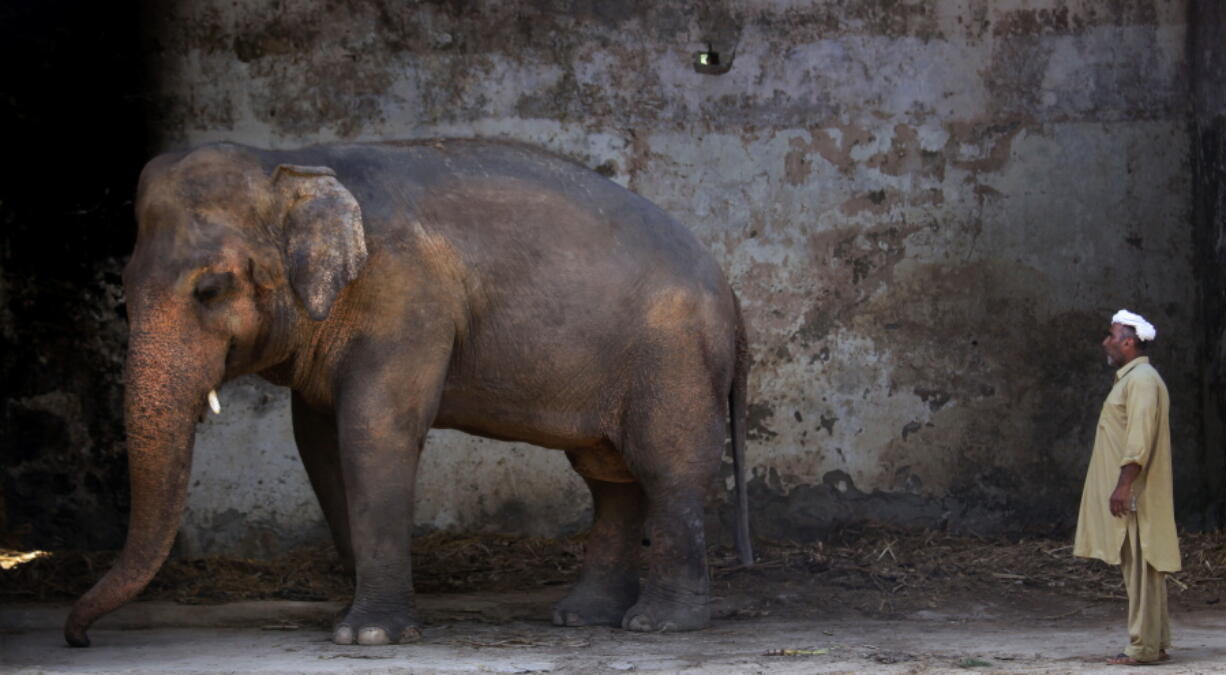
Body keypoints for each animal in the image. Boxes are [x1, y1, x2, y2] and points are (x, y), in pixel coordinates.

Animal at [69, 138, 755, 651]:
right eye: (122, 286)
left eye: (209, 290)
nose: (79, 638)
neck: (291, 162)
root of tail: (733, 295)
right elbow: (318, 442)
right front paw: (351, 621)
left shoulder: (405, 295)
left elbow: (375, 430)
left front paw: (369, 636)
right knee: (610, 476)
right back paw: (580, 618)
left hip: (674, 359)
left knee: (667, 468)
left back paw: (657, 625)